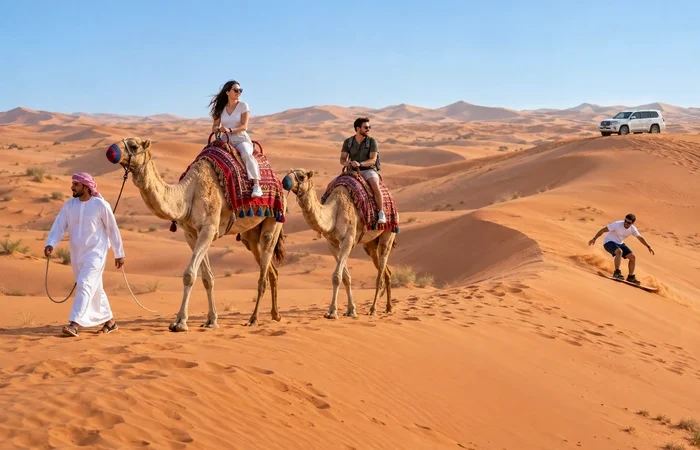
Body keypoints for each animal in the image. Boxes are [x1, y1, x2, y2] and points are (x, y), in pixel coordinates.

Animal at [110, 137, 286, 331]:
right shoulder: (191, 234)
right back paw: (275, 314)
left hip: (275, 219)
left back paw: (254, 318)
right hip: (250, 235)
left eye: (133, 146)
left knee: (264, 271)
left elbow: (189, 275)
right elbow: (207, 278)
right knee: (271, 269)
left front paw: (180, 322)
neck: (188, 194)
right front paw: (211, 320)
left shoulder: (208, 228)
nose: (110, 151)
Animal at [282, 168, 396, 319]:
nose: (284, 181)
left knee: (381, 271)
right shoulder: (332, 243)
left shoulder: (348, 239)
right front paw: (351, 310)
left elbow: (337, 276)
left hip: (388, 233)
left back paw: (373, 309)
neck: (333, 212)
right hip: (370, 244)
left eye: (301, 176)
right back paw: (389, 307)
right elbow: (345, 277)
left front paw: (332, 312)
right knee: (386, 271)